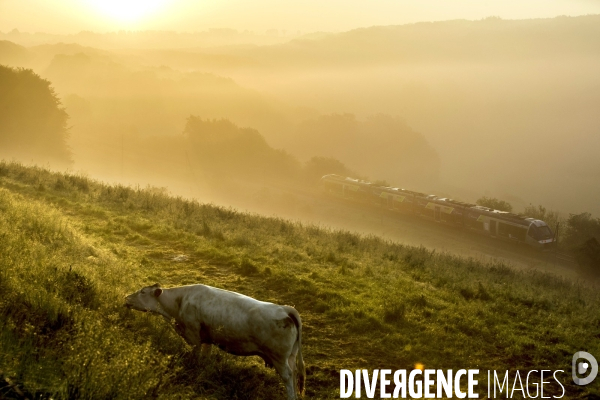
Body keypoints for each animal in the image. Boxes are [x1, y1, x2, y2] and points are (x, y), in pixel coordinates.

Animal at [125, 282, 308, 398]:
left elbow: (195, 357)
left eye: (142, 292)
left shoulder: (194, 336)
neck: (180, 302)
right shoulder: (207, 339)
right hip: (290, 357)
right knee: (294, 375)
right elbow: (205, 359)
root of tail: (285, 308)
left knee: (288, 377)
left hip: (279, 359)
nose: (126, 298)